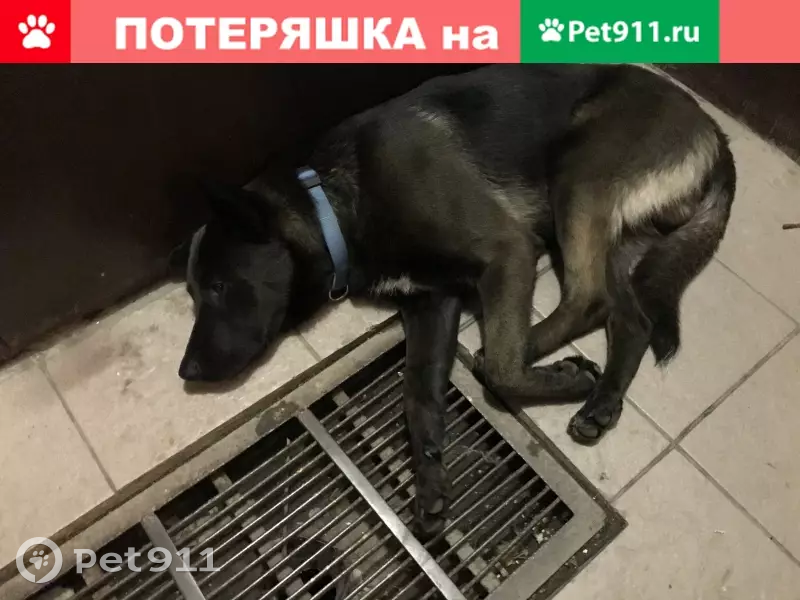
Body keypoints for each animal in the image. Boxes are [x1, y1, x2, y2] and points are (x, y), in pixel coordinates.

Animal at [170, 64, 735, 536]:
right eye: (196, 294)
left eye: (219, 287)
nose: (186, 372)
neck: (332, 204)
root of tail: (715, 131)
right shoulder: (430, 305)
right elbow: (417, 398)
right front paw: (429, 476)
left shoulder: (506, 251)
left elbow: (503, 368)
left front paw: (546, 371)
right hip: (614, 234)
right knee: (630, 319)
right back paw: (602, 401)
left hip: (577, 176)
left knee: (584, 300)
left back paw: (546, 358)